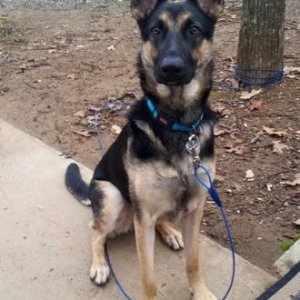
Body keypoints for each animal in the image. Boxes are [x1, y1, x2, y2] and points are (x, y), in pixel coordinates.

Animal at [66, 1, 225, 298]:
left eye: (194, 30)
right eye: (155, 30)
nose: (171, 68)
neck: (177, 123)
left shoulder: (195, 209)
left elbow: (194, 262)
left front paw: (200, 291)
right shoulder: (144, 220)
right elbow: (148, 278)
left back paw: (170, 232)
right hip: (113, 197)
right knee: (95, 231)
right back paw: (100, 265)